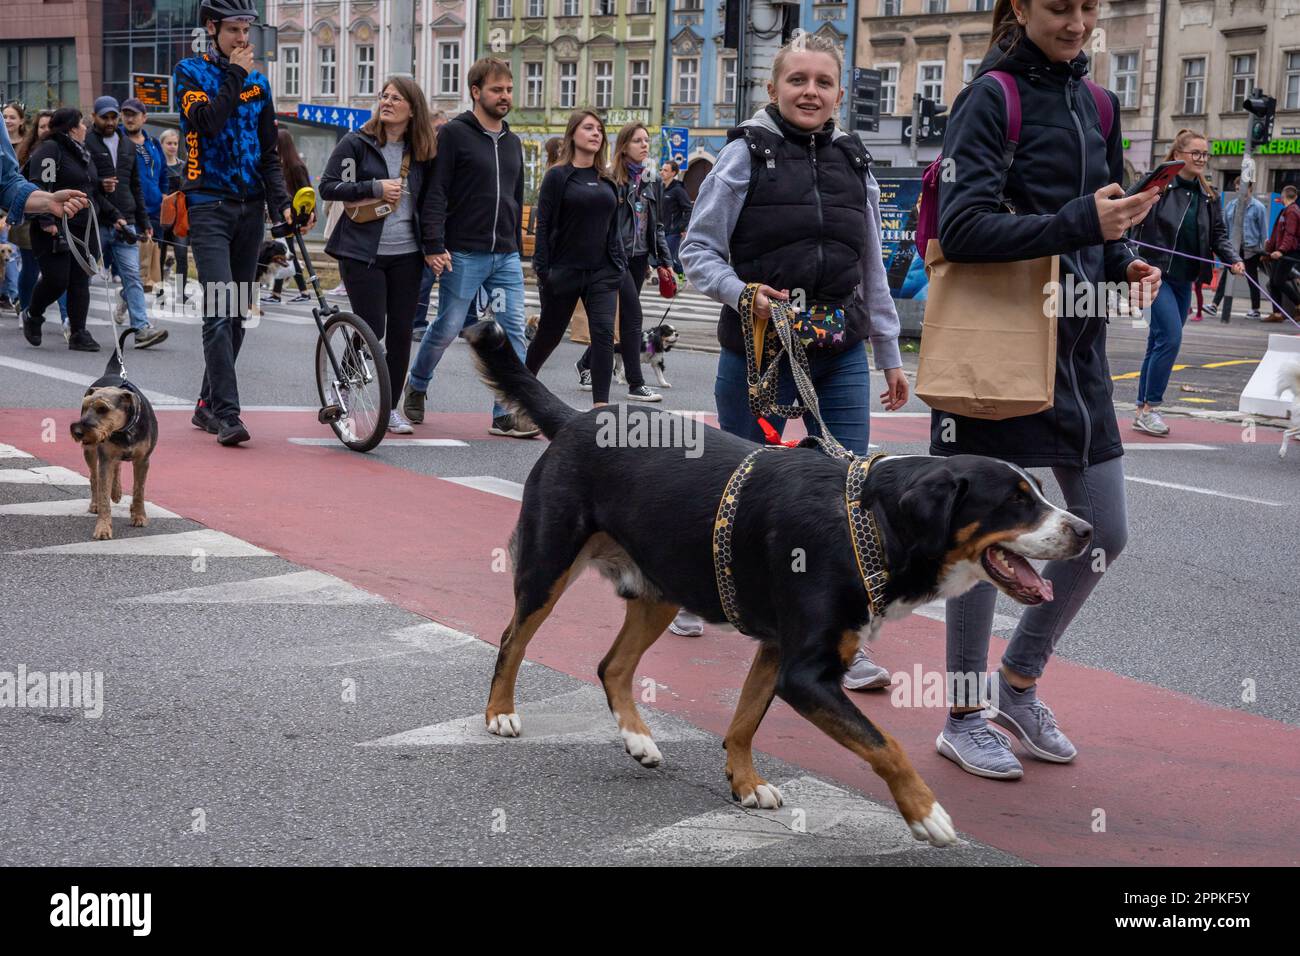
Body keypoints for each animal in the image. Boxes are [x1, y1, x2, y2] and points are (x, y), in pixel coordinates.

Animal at [69, 327, 157, 538]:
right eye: (85, 407)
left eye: (103, 409)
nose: (78, 431)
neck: (124, 430)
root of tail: (110, 372)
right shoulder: (105, 459)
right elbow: (103, 495)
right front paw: (103, 527)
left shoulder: (143, 460)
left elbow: (139, 490)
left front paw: (139, 516)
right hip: (91, 452)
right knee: (94, 478)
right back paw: (97, 502)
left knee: (117, 469)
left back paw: (117, 493)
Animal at [462, 323, 1092, 853]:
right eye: (1015, 501)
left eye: (1039, 491)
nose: (1086, 531)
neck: (869, 524)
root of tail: (577, 419)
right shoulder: (806, 672)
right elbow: (885, 744)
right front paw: (925, 813)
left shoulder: (776, 651)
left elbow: (744, 722)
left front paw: (745, 783)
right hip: (548, 566)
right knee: (512, 639)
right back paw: (501, 713)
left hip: (662, 588)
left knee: (612, 666)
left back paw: (638, 739)